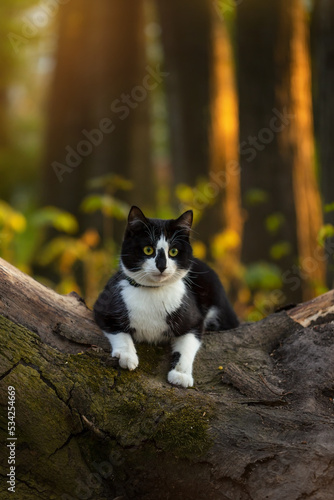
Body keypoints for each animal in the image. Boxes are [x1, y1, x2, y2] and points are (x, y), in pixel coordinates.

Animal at [94, 205, 239, 388]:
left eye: (173, 251)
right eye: (148, 249)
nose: (162, 266)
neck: (153, 291)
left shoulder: (194, 318)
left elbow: (188, 344)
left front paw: (180, 374)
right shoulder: (103, 306)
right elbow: (118, 330)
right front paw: (127, 356)